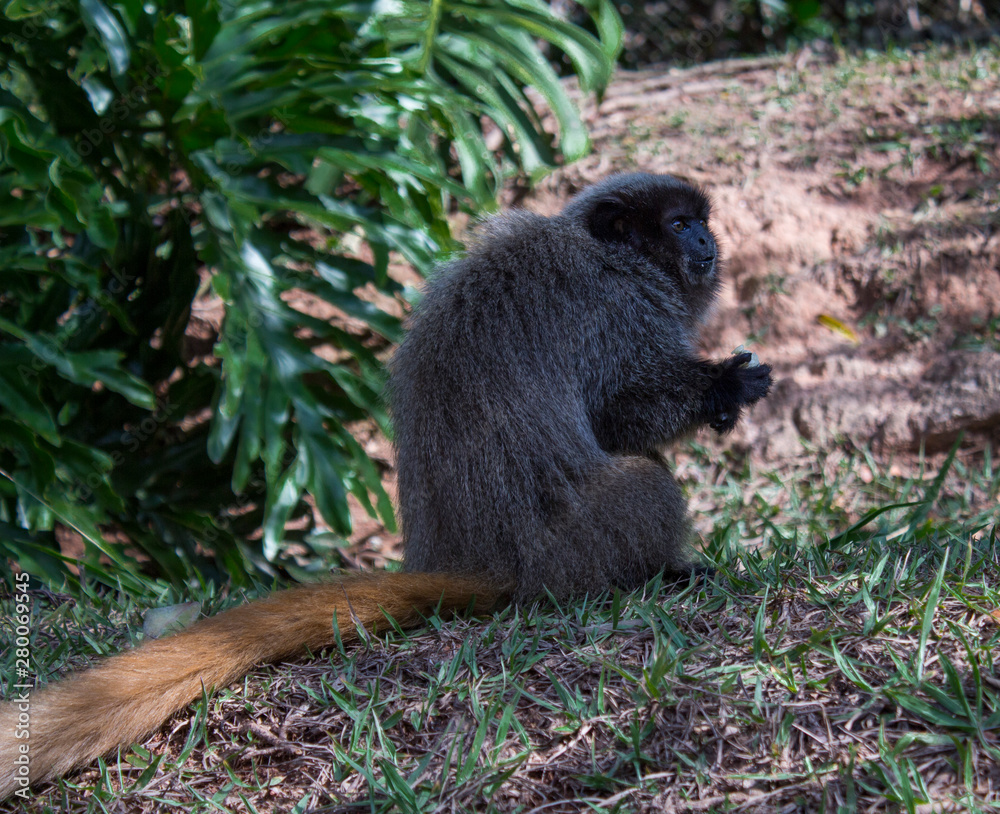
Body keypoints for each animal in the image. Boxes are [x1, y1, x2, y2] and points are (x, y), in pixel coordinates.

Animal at [0, 173, 772, 798]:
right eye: (679, 223)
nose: (707, 236)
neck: (608, 253)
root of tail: (483, 564)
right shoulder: (619, 304)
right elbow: (620, 410)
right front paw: (721, 387)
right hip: (576, 547)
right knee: (645, 481)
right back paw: (661, 572)